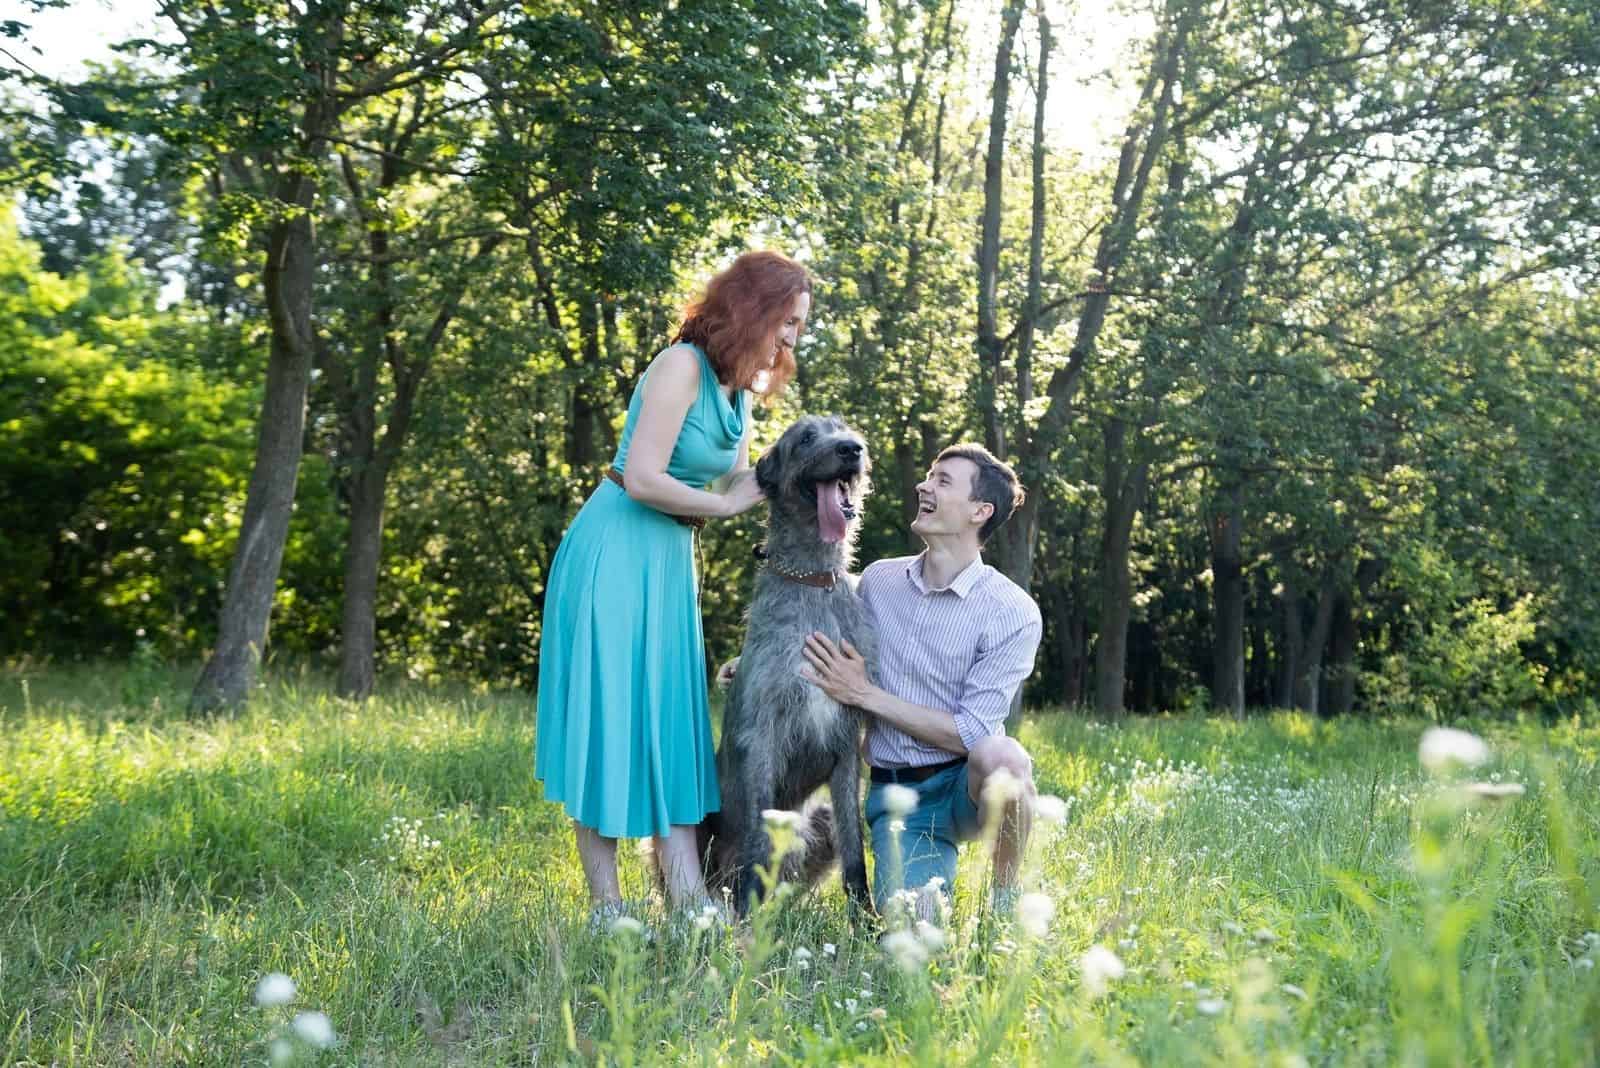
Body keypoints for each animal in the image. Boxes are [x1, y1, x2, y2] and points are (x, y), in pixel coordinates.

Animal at [704, 412, 876, 914]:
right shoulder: (761, 738)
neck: (812, 580)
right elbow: (759, 840)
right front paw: (747, 918)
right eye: (805, 439)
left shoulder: (845, 744)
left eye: (845, 427)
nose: (852, 449)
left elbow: (855, 849)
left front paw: (868, 922)